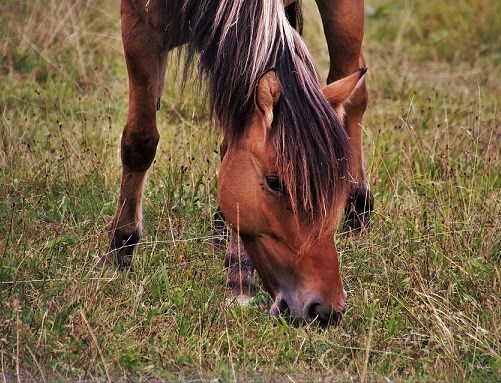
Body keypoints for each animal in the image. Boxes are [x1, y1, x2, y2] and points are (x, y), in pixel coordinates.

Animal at [98, 0, 372, 330]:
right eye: (274, 182)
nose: (325, 310)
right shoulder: (138, 26)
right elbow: (139, 142)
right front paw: (120, 248)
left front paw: (239, 279)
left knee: (354, 86)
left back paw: (360, 208)